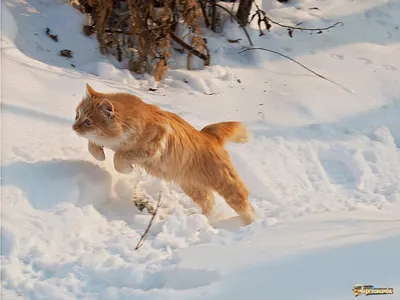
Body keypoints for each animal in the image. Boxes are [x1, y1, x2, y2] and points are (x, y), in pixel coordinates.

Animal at [72, 83, 256, 224]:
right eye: (77, 115)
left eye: (88, 122)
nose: (73, 127)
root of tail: (209, 136)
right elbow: (92, 146)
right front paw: (99, 154)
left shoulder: (150, 145)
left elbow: (120, 158)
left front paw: (127, 169)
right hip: (194, 187)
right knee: (209, 203)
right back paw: (204, 220)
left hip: (225, 184)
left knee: (245, 204)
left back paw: (249, 225)